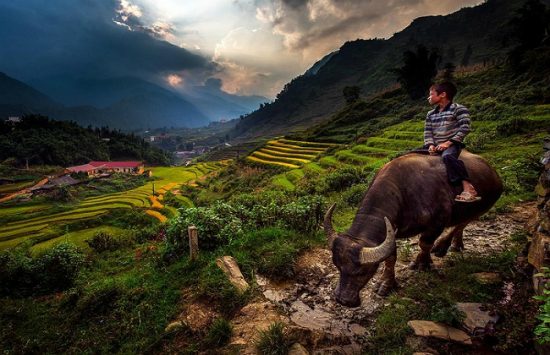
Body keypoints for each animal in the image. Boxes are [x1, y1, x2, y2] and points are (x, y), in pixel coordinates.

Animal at [328, 152, 504, 308]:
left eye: (363, 271)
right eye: (338, 266)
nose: (342, 300)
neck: (403, 193)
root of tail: (493, 172)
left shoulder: (437, 223)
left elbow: (424, 244)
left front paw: (422, 264)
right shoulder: (390, 232)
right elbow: (390, 258)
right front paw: (386, 283)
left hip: (483, 206)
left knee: (462, 223)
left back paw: (442, 246)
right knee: (461, 224)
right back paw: (455, 245)